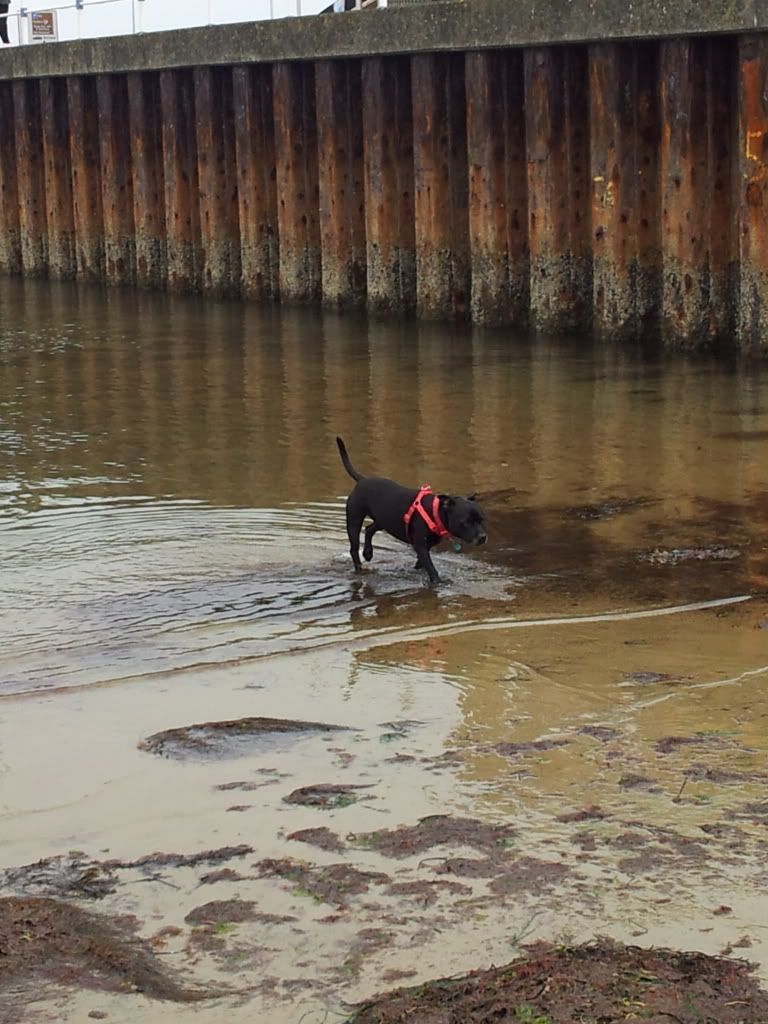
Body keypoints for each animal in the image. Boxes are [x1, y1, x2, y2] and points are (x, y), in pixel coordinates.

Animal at [335, 438, 487, 589]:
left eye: (482, 520)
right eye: (465, 522)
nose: (483, 537)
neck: (435, 513)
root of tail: (362, 480)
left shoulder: (425, 546)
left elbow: (421, 563)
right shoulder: (421, 546)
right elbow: (431, 567)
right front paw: (437, 582)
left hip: (385, 520)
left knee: (369, 529)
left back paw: (368, 552)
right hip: (354, 520)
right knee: (354, 547)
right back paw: (359, 567)